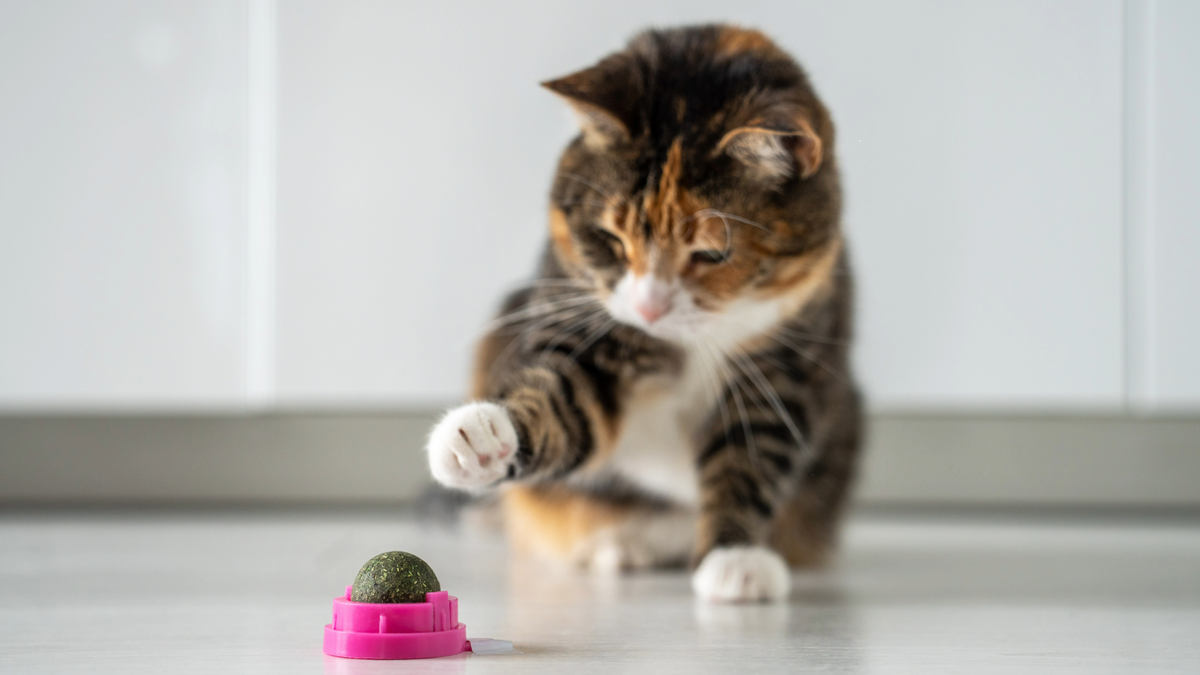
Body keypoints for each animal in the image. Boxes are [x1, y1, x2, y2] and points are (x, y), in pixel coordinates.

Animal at [427, 23, 859, 598]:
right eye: (610, 238)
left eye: (712, 254)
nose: (648, 308)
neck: (688, 342)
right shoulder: (592, 326)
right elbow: (565, 398)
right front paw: (480, 436)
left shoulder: (788, 356)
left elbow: (750, 456)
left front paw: (735, 556)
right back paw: (620, 545)